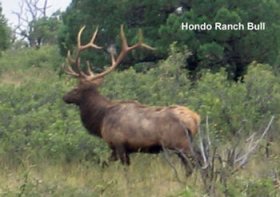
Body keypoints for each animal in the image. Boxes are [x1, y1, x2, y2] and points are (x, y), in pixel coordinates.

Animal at [62, 25, 200, 175]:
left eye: (76, 89)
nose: (64, 97)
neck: (101, 119)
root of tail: (195, 119)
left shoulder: (119, 143)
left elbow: (124, 170)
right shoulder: (118, 148)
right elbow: (104, 164)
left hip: (181, 143)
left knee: (195, 164)